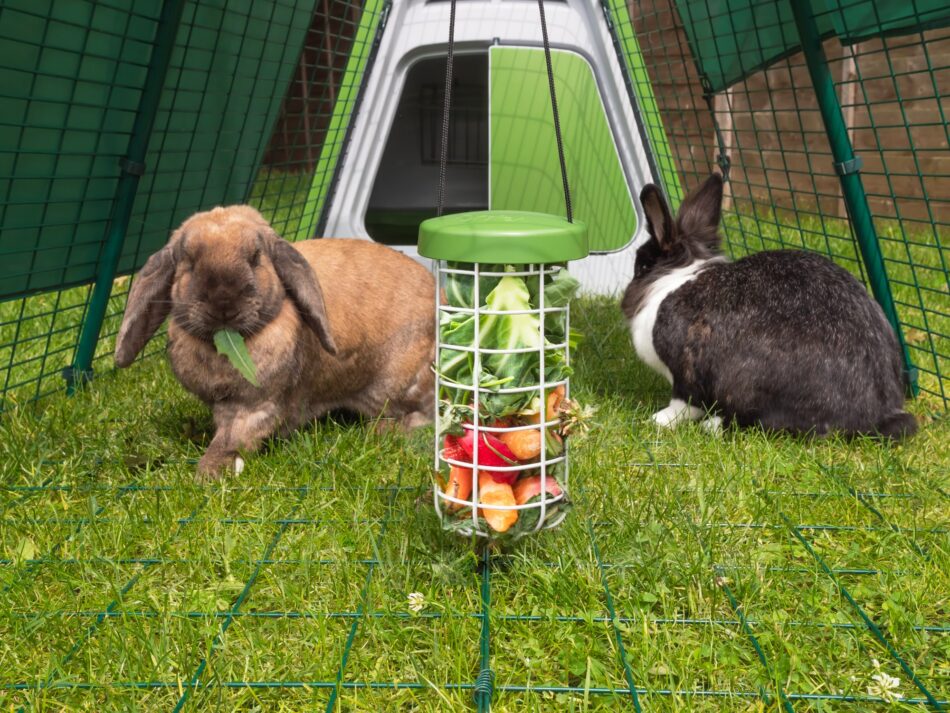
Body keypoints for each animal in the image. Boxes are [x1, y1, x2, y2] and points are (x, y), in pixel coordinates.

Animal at [115, 205, 436, 479]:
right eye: (190, 263)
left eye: (255, 257)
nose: (223, 304)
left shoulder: (256, 406)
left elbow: (233, 437)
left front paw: (210, 472)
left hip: (396, 386)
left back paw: (384, 431)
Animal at [621, 174, 916, 440]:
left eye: (642, 267)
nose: (624, 302)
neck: (678, 276)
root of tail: (877, 415)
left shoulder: (684, 373)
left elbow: (683, 404)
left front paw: (658, 420)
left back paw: (712, 426)